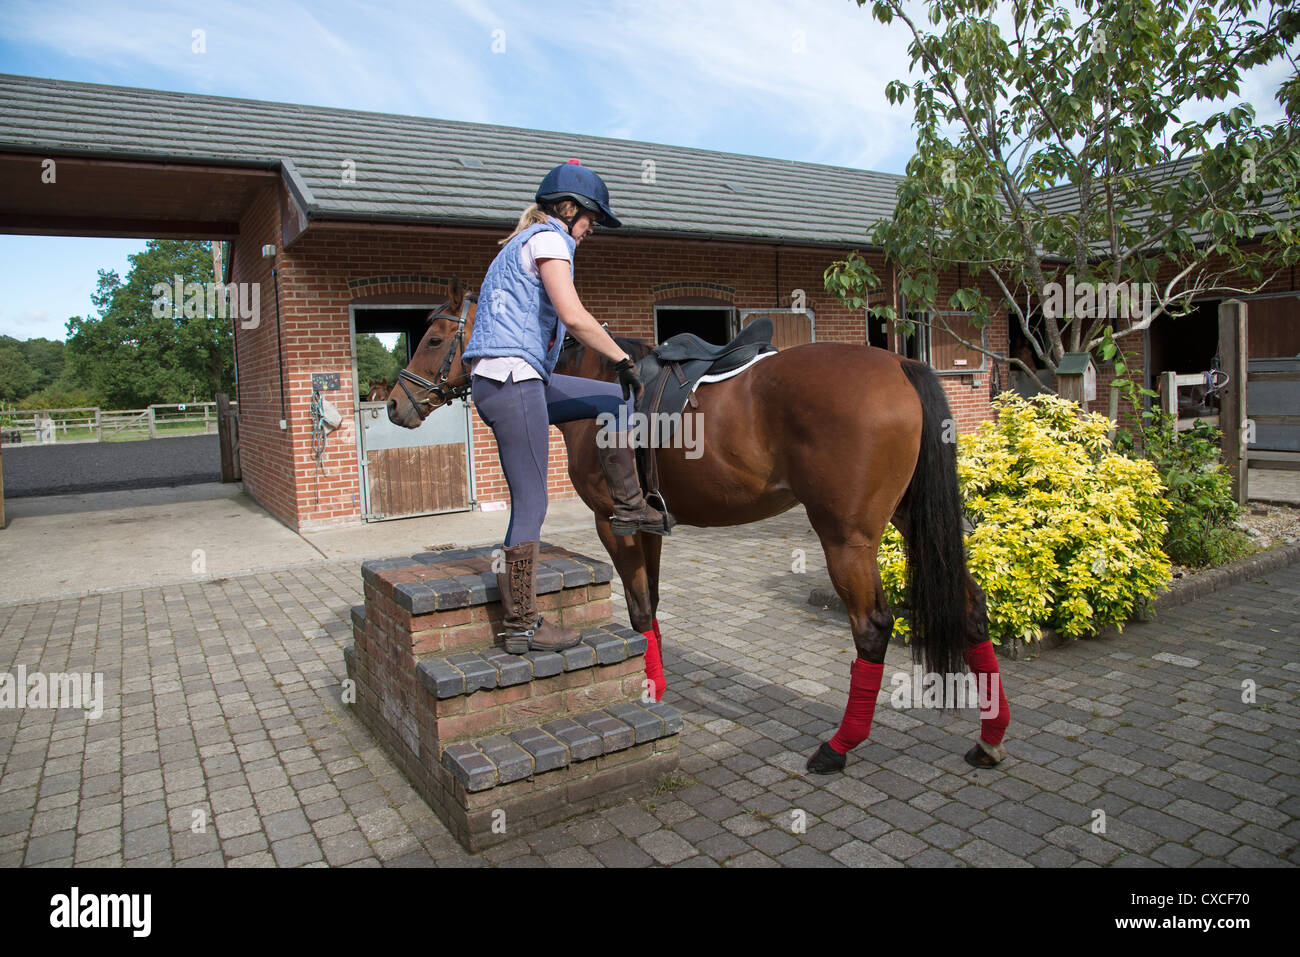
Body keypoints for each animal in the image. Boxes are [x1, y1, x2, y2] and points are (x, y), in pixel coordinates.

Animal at [387, 284, 1010, 774]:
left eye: (435, 339)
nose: (395, 406)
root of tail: (897, 365)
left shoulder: (613, 525)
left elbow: (639, 609)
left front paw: (648, 689)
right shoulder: (649, 527)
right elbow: (653, 610)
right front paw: (656, 687)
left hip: (846, 539)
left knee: (873, 628)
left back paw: (838, 746)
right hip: (907, 521)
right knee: (970, 604)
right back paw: (989, 739)